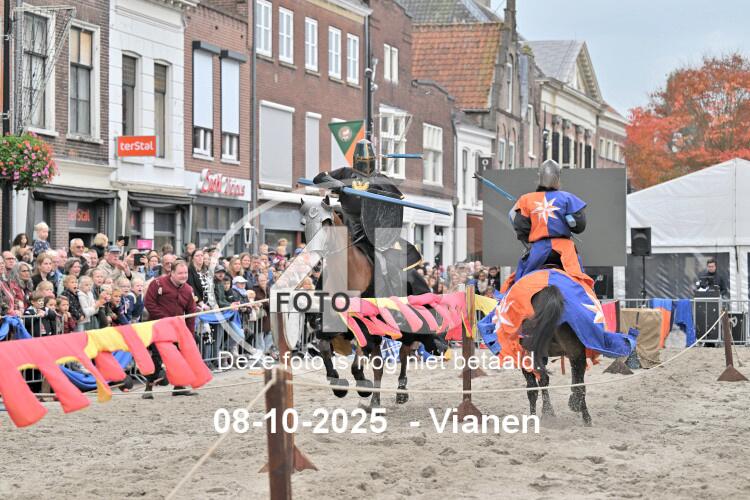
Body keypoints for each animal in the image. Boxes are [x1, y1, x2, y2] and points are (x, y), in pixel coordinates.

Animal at [299, 196, 436, 408]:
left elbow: (359, 362)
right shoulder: (331, 326)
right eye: (304, 223)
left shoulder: (367, 328)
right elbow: (324, 347)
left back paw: (400, 390)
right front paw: (339, 386)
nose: (313, 254)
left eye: (326, 223)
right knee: (385, 361)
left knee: (404, 353)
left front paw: (364, 387)